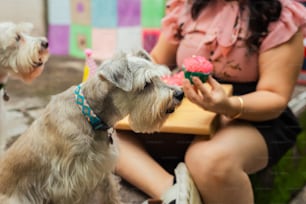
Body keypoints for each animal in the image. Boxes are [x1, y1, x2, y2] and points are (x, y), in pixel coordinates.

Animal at [0, 49, 183, 204]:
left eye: (158, 77)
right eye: (146, 84)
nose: (180, 93)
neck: (89, 114)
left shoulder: (102, 168)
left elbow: (110, 194)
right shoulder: (69, 184)